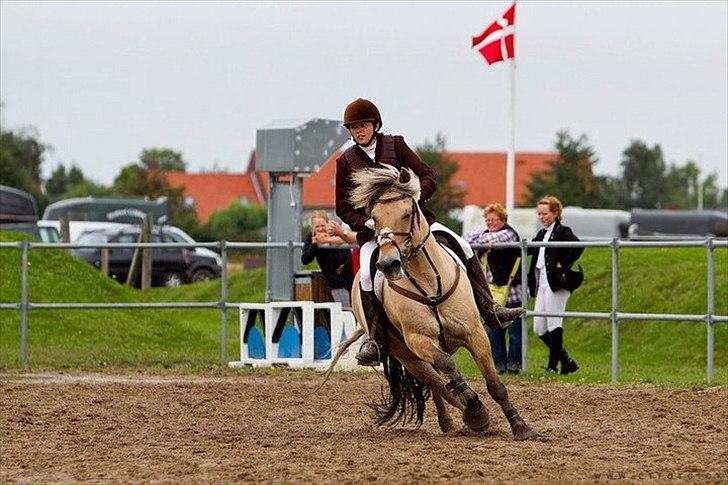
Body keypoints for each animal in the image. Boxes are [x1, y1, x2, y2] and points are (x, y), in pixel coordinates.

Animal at [328, 164, 536, 438]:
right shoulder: (419, 340)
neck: (428, 282)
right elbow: (447, 367)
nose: (389, 264)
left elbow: (495, 385)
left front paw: (520, 426)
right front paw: (472, 403)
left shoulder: (475, 333)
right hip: (406, 355)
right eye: (374, 218)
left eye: (407, 213)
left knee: (438, 381)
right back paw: (468, 414)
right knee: (436, 382)